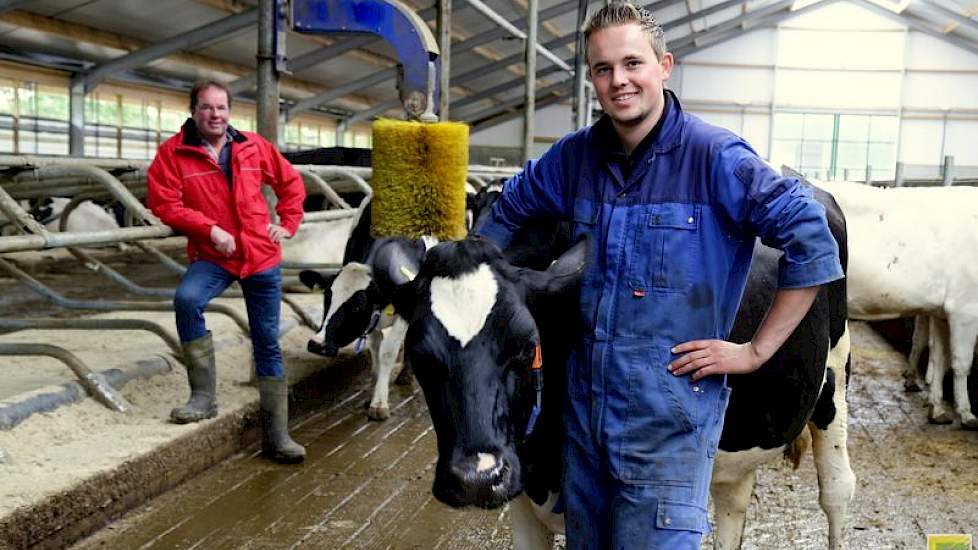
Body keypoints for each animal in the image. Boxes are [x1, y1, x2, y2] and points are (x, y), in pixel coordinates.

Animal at [300, 205, 432, 420]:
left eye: (357, 306)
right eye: (327, 298)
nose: (317, 344)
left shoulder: (405, 312)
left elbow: (388, 352)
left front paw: (379, 404)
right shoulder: (372, 321)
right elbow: (376, 349)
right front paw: (375, 390)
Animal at [808, 179, 976, 430]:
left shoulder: (942, 311)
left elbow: (940, 357)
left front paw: (937, 409)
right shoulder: (966, 308)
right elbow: (961, 362)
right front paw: (966, 414)